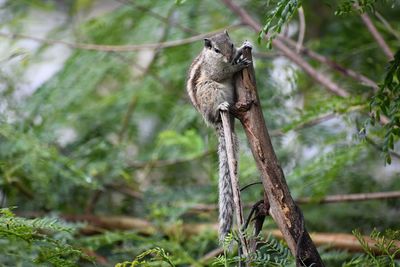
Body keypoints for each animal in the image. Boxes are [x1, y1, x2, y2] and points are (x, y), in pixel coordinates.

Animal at [187, 30, 250, 242]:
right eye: (215, 50)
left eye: (230, 44)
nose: (230, 57)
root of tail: (214, 122)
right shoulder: (213, 71)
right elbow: (222, 73)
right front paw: (237, 65)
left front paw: (245, 46)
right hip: (211, 90)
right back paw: (222, 106)